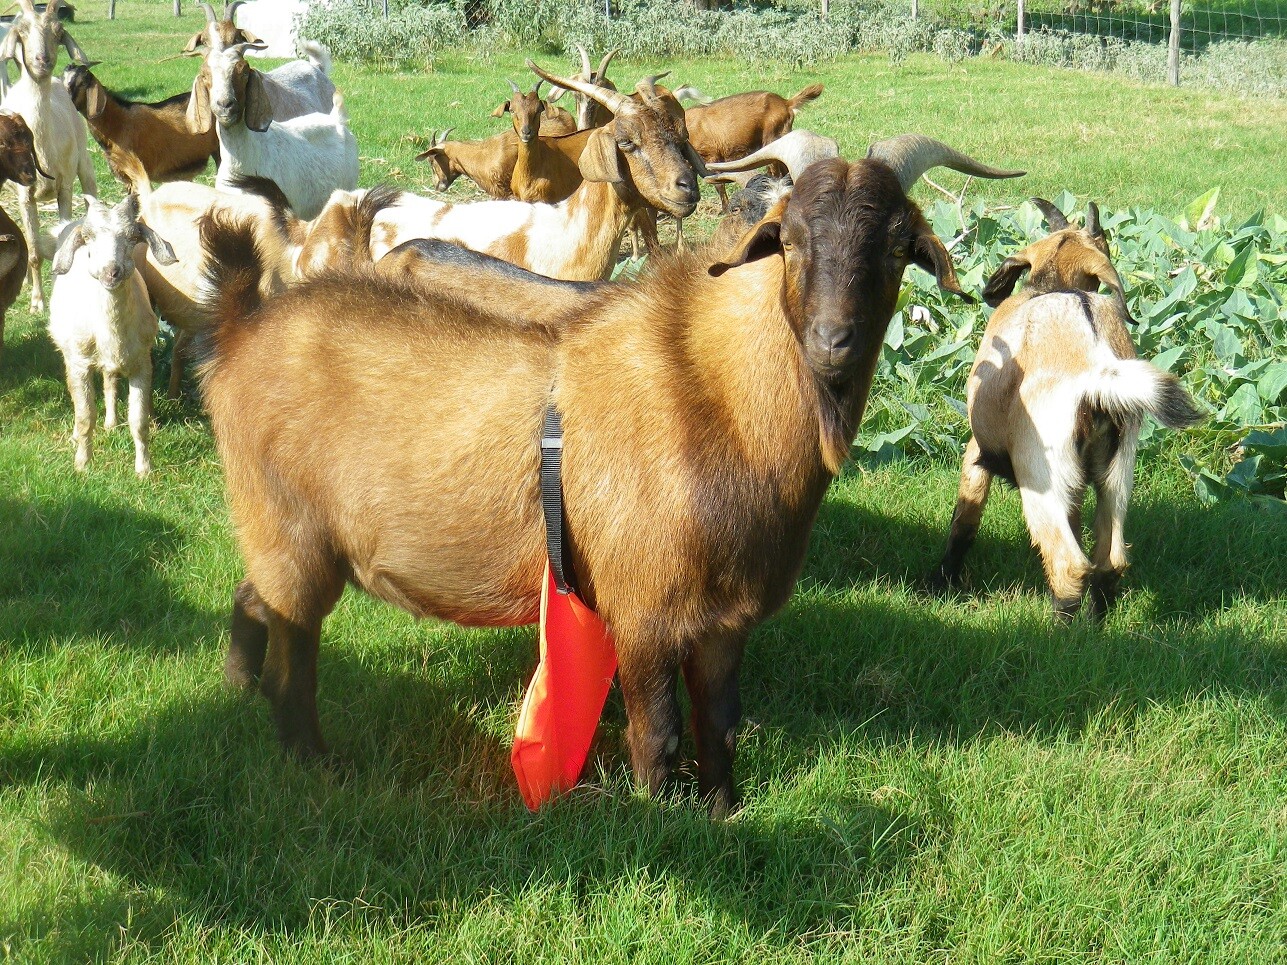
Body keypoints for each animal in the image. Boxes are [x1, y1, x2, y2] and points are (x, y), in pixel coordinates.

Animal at [0, 0, 96, 313]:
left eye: (58, 31)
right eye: (21, 31)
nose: (42, 60)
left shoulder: (64, 186)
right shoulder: (24, 196)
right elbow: (32, 252)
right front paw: (36, 302)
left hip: (85, 164)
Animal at [48, 194, 177, 477]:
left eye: (133, 237)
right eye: (87, 237)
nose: (111, 272)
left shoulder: (142, 363)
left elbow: (138, 421)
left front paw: (143, 469)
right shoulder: (80, 364)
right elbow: (85, 416)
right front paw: (82, 465)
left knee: (109, 380)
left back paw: (110, 422)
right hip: (68, 352)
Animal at [197, 134, 1022, 816]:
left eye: (897, 246)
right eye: (786, 238)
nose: (831, 341)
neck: (715, 397)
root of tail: (240, 329)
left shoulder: (725, 617)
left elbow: (718, 725)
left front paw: (724, 811)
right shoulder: (644, 609)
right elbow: (658, 736)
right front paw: (663, 822)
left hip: (285, 537)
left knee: (255, 596)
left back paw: (236, 690)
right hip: (288, 527)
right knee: (294, 653)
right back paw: (315, 760)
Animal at [931, 199, 1203, 620]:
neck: (1053, 284)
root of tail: (1097, 368)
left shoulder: (979, 448)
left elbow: (965, 521)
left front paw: (941, 581)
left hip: (1039, 470)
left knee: (1067, 562)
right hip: (1117, 470)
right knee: (1109, 559)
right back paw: (1094, 623)